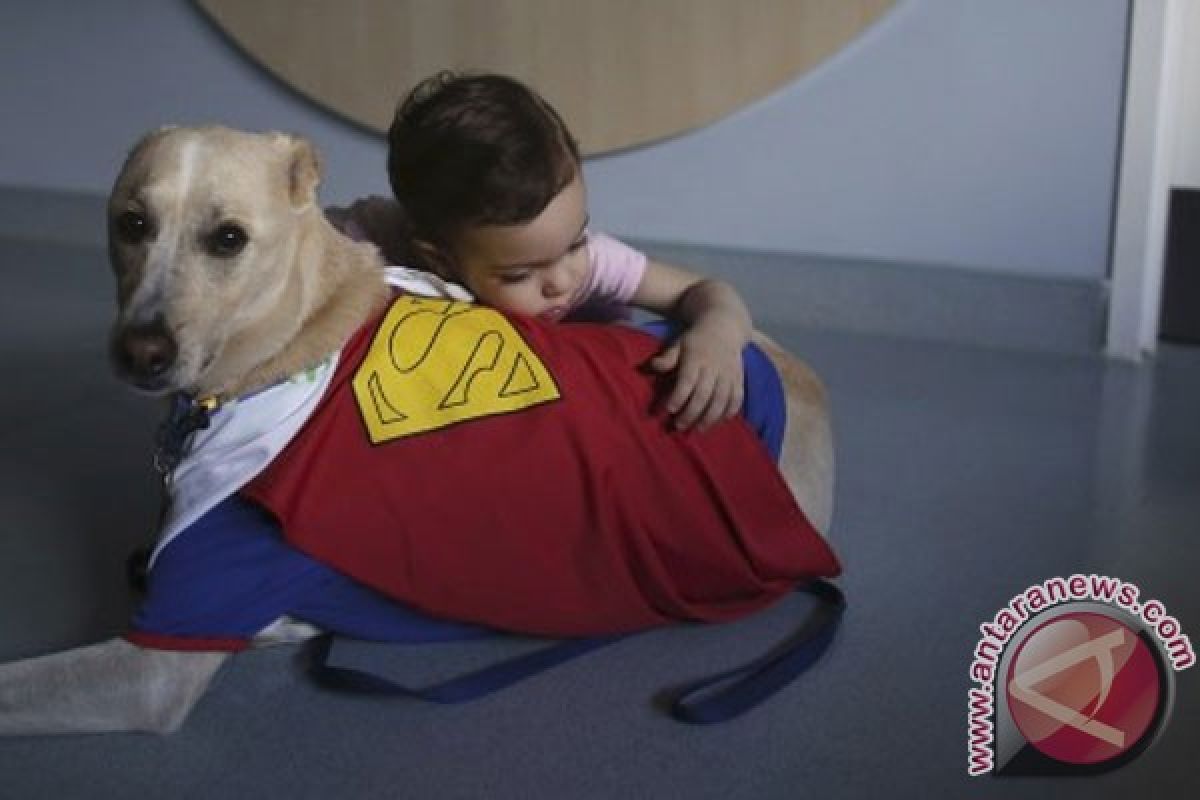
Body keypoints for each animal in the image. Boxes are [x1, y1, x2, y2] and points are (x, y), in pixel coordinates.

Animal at [0, 126, 835, 738]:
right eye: (131, 224)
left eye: (229, 239)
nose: (140, 351)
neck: (290, 346)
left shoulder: (159, 663)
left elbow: (12, 686)